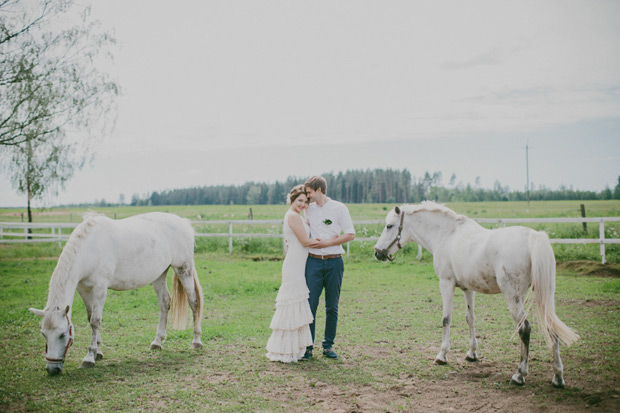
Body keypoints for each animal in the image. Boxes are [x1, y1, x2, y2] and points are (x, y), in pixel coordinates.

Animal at [29, 211, 203, 374]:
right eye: (43, 334)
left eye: (62, 335)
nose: (52, 370)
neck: (89, 249)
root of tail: (184, 223)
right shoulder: (83, 289)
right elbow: (90, 317)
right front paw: (98, 352)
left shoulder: (100, 287)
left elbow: (95, 320)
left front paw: (89, 358)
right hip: (159, 275)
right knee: (165, 303)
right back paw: (157, 342)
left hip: (183, 269)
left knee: (193, 302)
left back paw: (196, 341)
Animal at [372, 201, 580, 388]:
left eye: (389, 225)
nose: (377, 253)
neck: (447, 234)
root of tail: (533, 236)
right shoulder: (468, 288)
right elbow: (470, 318)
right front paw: (472, 353)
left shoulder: (446, 283)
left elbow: (446, 319)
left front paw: (442, 355)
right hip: (546, 297)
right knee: (551, 327)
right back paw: (558, 377)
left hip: (513, 297)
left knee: (524, 329)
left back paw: (520, 375)